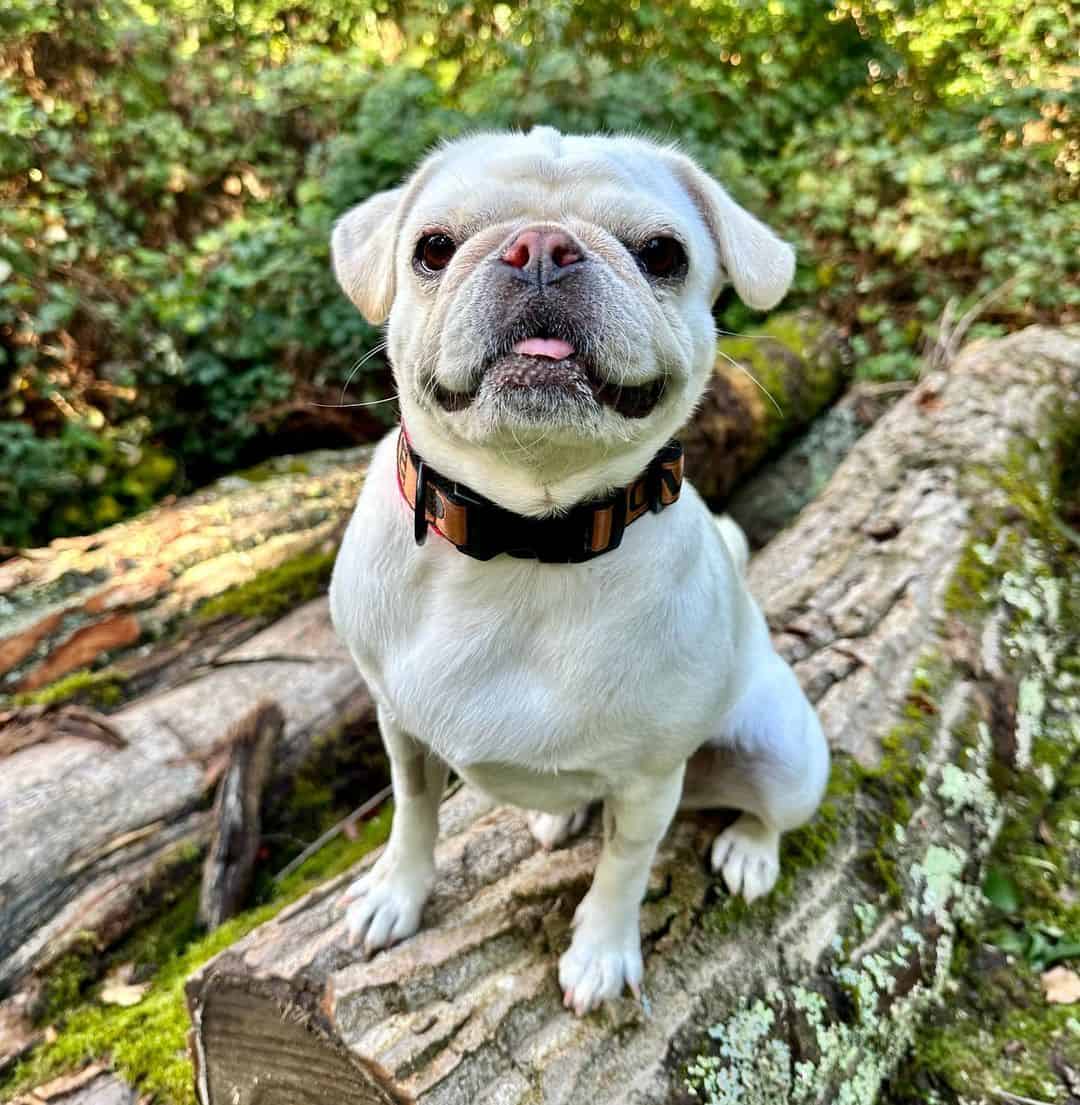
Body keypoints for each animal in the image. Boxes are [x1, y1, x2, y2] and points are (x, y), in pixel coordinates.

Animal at [327, 125, 826, 1012]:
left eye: (663, 254)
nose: (541, 247)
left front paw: (600, 951)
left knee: (770, 808)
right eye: (432, 248)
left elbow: (625, 863)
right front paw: (396, 893)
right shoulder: (401, 727)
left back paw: (750, 850)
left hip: (783, 755)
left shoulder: (650, 778)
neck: (526, 533)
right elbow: (414, 811)